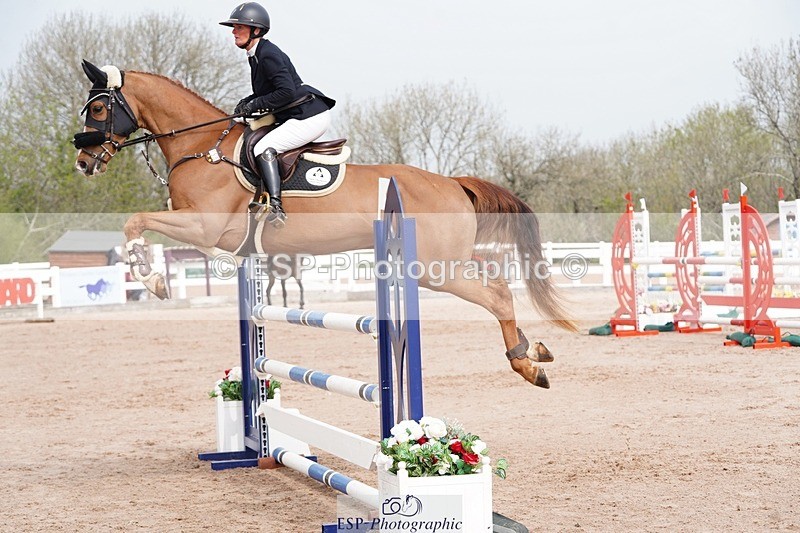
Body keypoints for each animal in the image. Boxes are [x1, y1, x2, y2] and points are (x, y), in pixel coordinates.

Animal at [73, 60, 577, 389]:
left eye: (98, 110)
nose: (83, 162)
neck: (203, 146)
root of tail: (453, 182)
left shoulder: (203, 226)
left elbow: (135, 223)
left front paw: (154, 280)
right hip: (448, 259)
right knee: (498, 282)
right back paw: (534, 352)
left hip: (436, 270)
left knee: (497, 295)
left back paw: (527, 366)